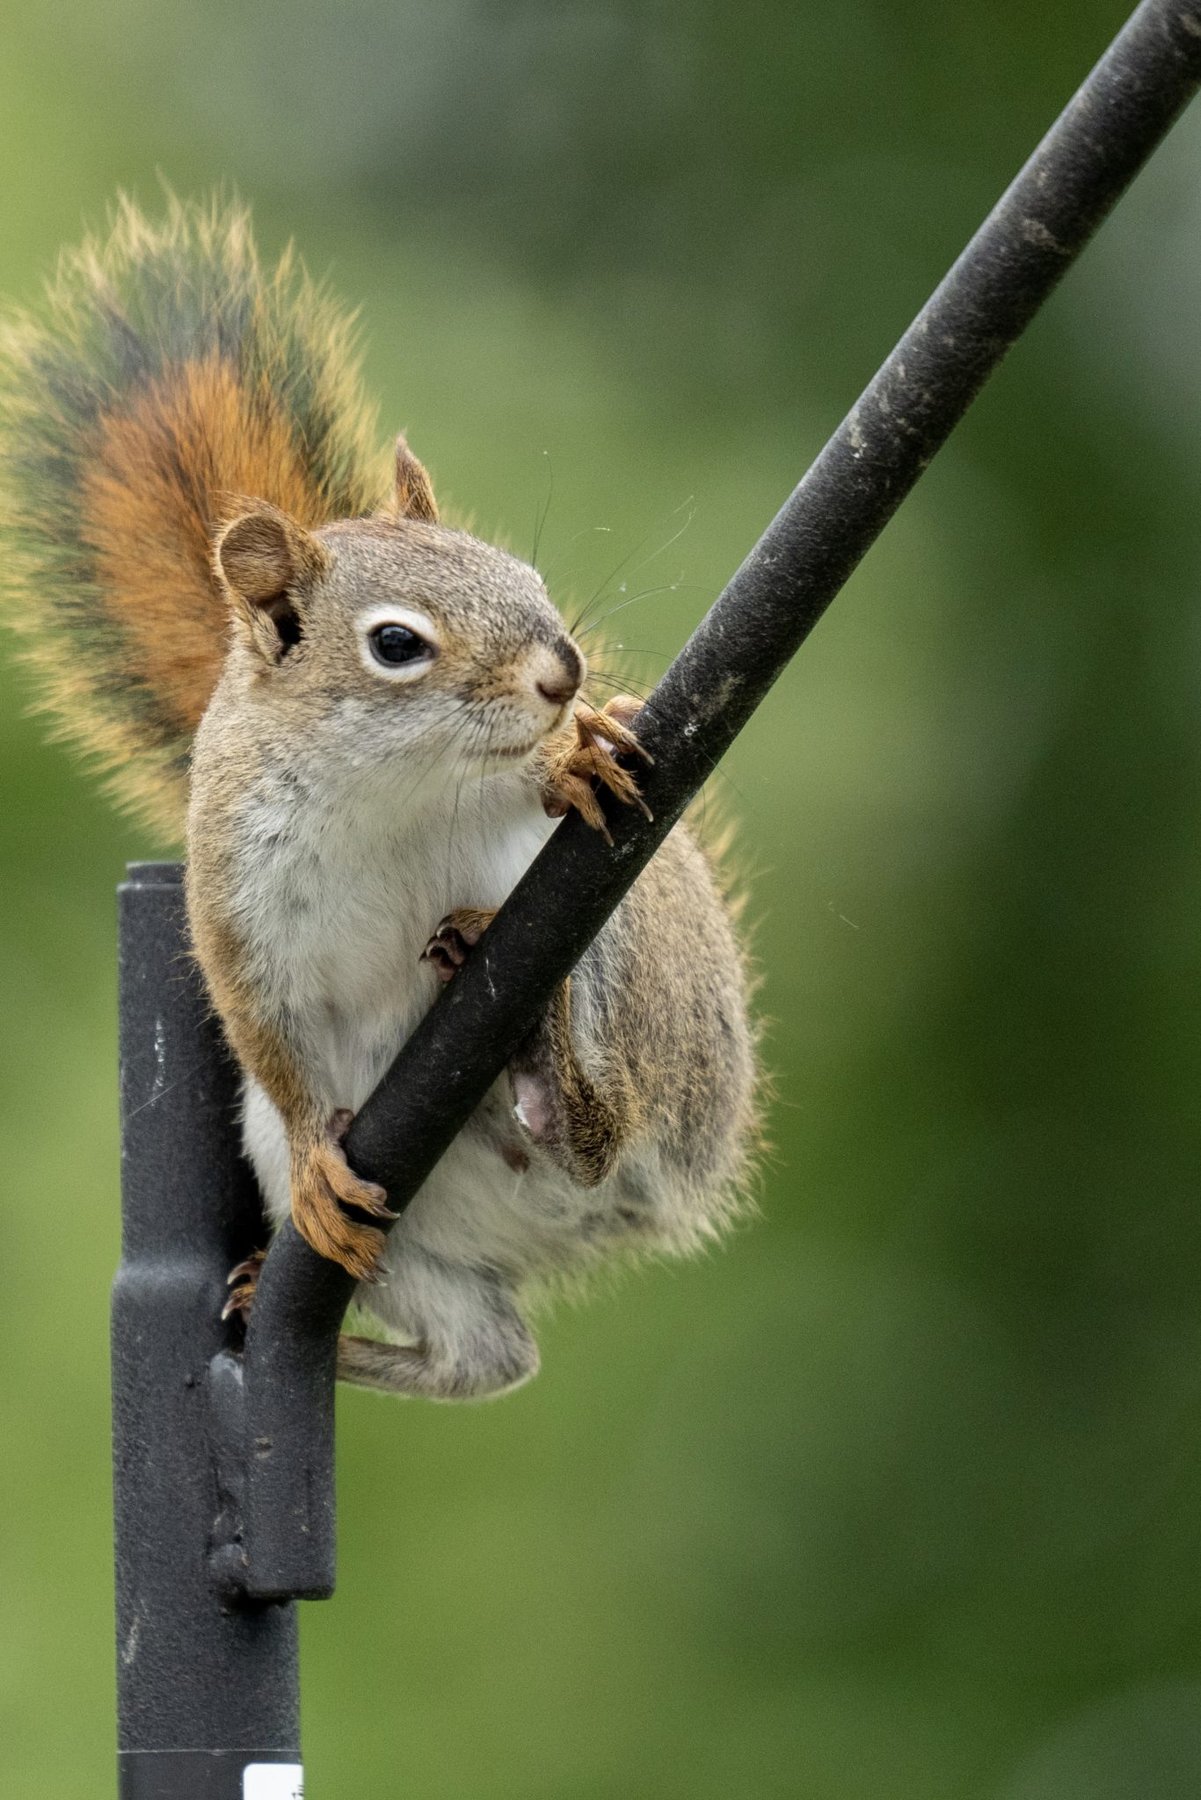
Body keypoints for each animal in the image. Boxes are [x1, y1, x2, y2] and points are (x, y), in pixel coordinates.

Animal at [0, 195, 759, 1400]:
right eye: (397, 644)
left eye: (523, 576)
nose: (563, 675)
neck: (392, 790)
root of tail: (648, 1210)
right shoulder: (237, 896)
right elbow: (263, 1029)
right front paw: (321, 1170)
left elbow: (549, 779)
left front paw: (575, 756)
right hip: (416, 1235)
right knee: (485, 1358)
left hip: (631, 954)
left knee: (605, 1133)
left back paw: (549, 1069)